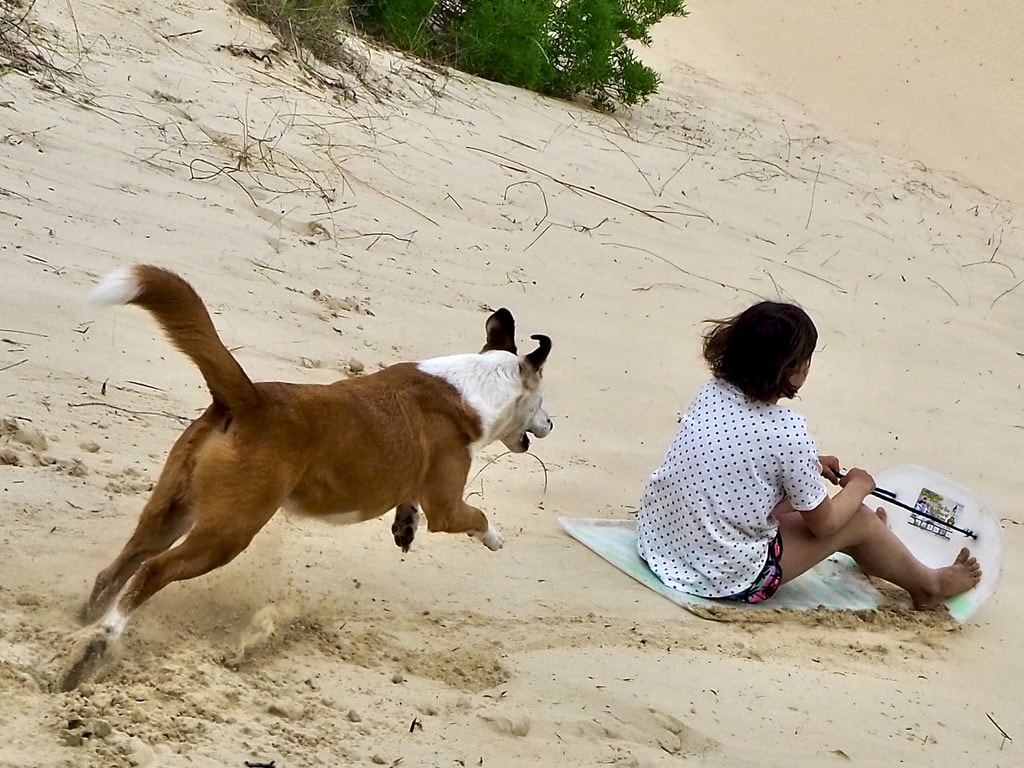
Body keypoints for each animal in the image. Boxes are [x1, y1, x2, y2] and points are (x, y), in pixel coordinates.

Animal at [58, 264, 552, 692]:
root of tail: (250, 400)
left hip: (170, 511)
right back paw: (99, 645)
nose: (551, 423)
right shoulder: (447, 507)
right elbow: (475, 516)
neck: (475, 385)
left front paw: (405, 524)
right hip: (226, 534)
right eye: (542, 401)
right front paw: (493, 537)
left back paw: (85, 623)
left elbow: (408, 500)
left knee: (120, 567)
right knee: (152, 572)